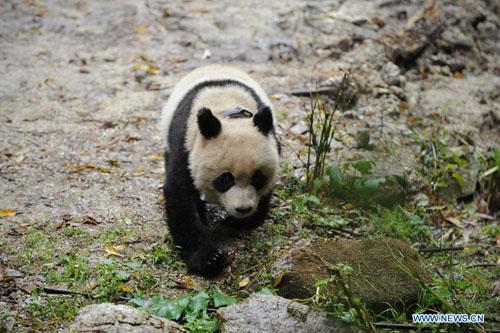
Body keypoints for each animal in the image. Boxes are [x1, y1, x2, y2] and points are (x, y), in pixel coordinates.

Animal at [160, 64, 280, 274]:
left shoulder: (272, 141)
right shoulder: (185, 147)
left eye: (257, 178)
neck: (229, 115)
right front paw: (209, 259)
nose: (243, 209)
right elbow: (180, 196)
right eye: (225, 179)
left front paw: (240, 221)